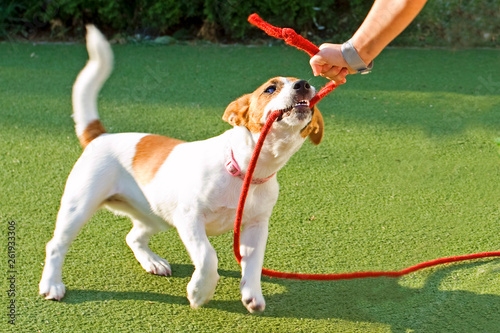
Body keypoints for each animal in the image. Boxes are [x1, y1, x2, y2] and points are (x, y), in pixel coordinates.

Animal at [37, 25, 322, 312]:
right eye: (270, 88)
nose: (304, 84)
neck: (245, 172)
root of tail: (100, 135)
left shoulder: (256, 227)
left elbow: (253, 264)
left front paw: (252, 295)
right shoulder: (189, 218)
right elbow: (208, 256)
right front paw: (200, 292)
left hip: (155, 214)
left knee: (133, 237)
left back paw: (152, 262)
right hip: (79, 206)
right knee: (55, 245)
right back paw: (52, 285)